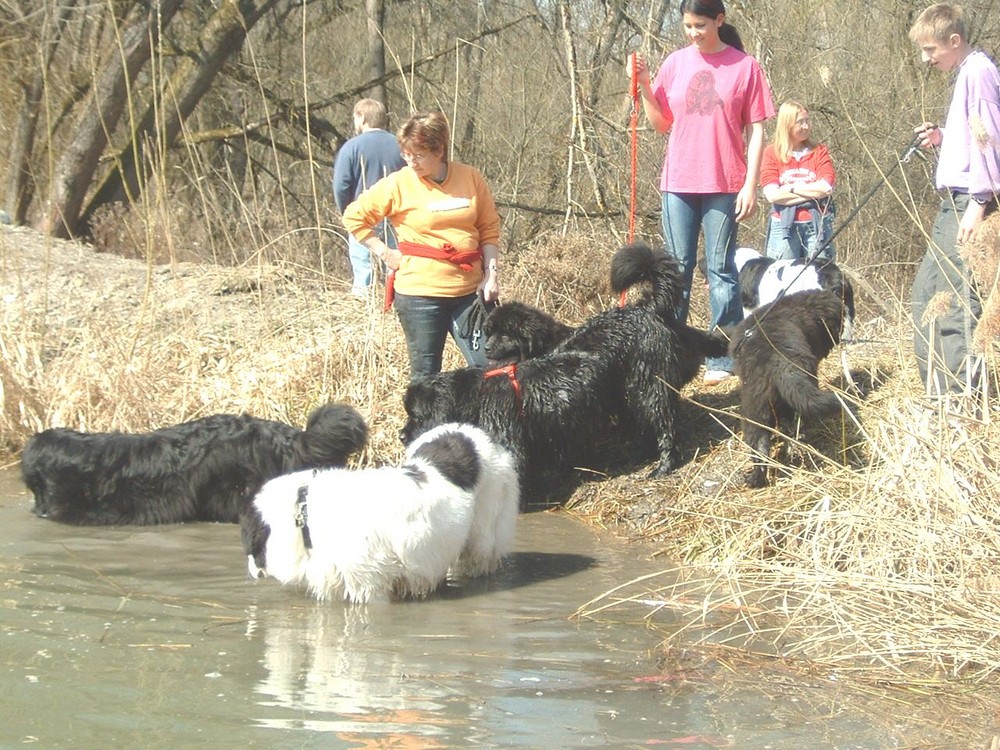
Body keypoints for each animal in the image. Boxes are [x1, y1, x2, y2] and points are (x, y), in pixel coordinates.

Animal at [480, 241, 724, 476]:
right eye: (489, 332)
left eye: (505, 334)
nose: (486, 348)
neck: (546, 345)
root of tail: (647, 308)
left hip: (649, 385)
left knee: (664, 423)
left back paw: (664, 465)